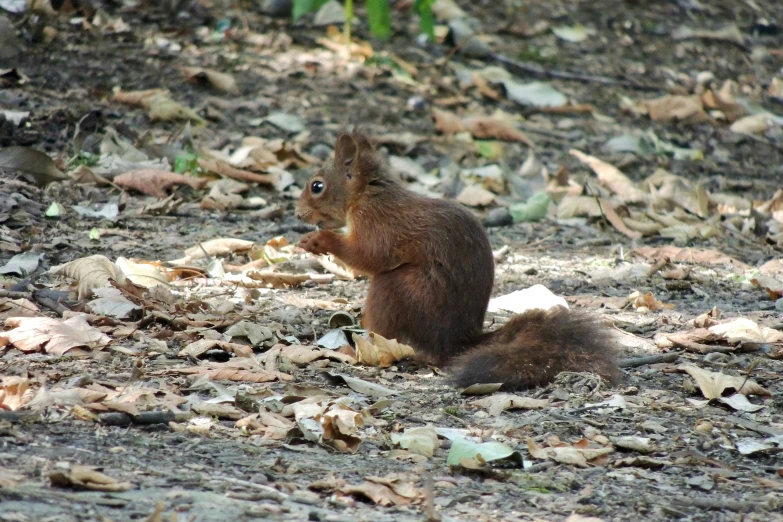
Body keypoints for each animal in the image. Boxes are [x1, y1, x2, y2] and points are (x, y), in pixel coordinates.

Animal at [294, 131, 620, 386]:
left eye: (317, 186)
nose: (298, 214)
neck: (368, 195)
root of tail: (457, 341)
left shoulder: (380, 225)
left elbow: (369, 255)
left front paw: (319, 241)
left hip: (400, 290)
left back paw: (356, 351)